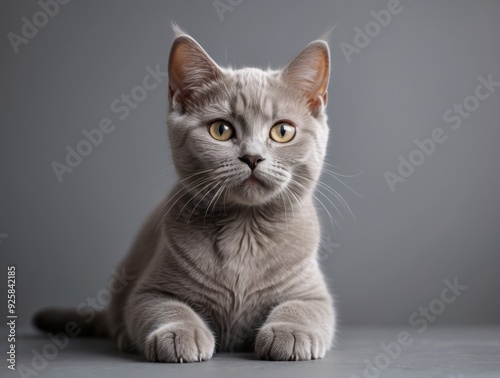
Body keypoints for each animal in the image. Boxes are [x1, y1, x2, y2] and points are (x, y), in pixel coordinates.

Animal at [35, 26, 336, 364]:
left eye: (283, 131)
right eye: (221, 130)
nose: (252, 157)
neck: (244, 229)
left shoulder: (313, 294)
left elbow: (305, 309)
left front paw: (290, 333)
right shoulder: (149, 291)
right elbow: (167, 307)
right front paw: (181, 334)